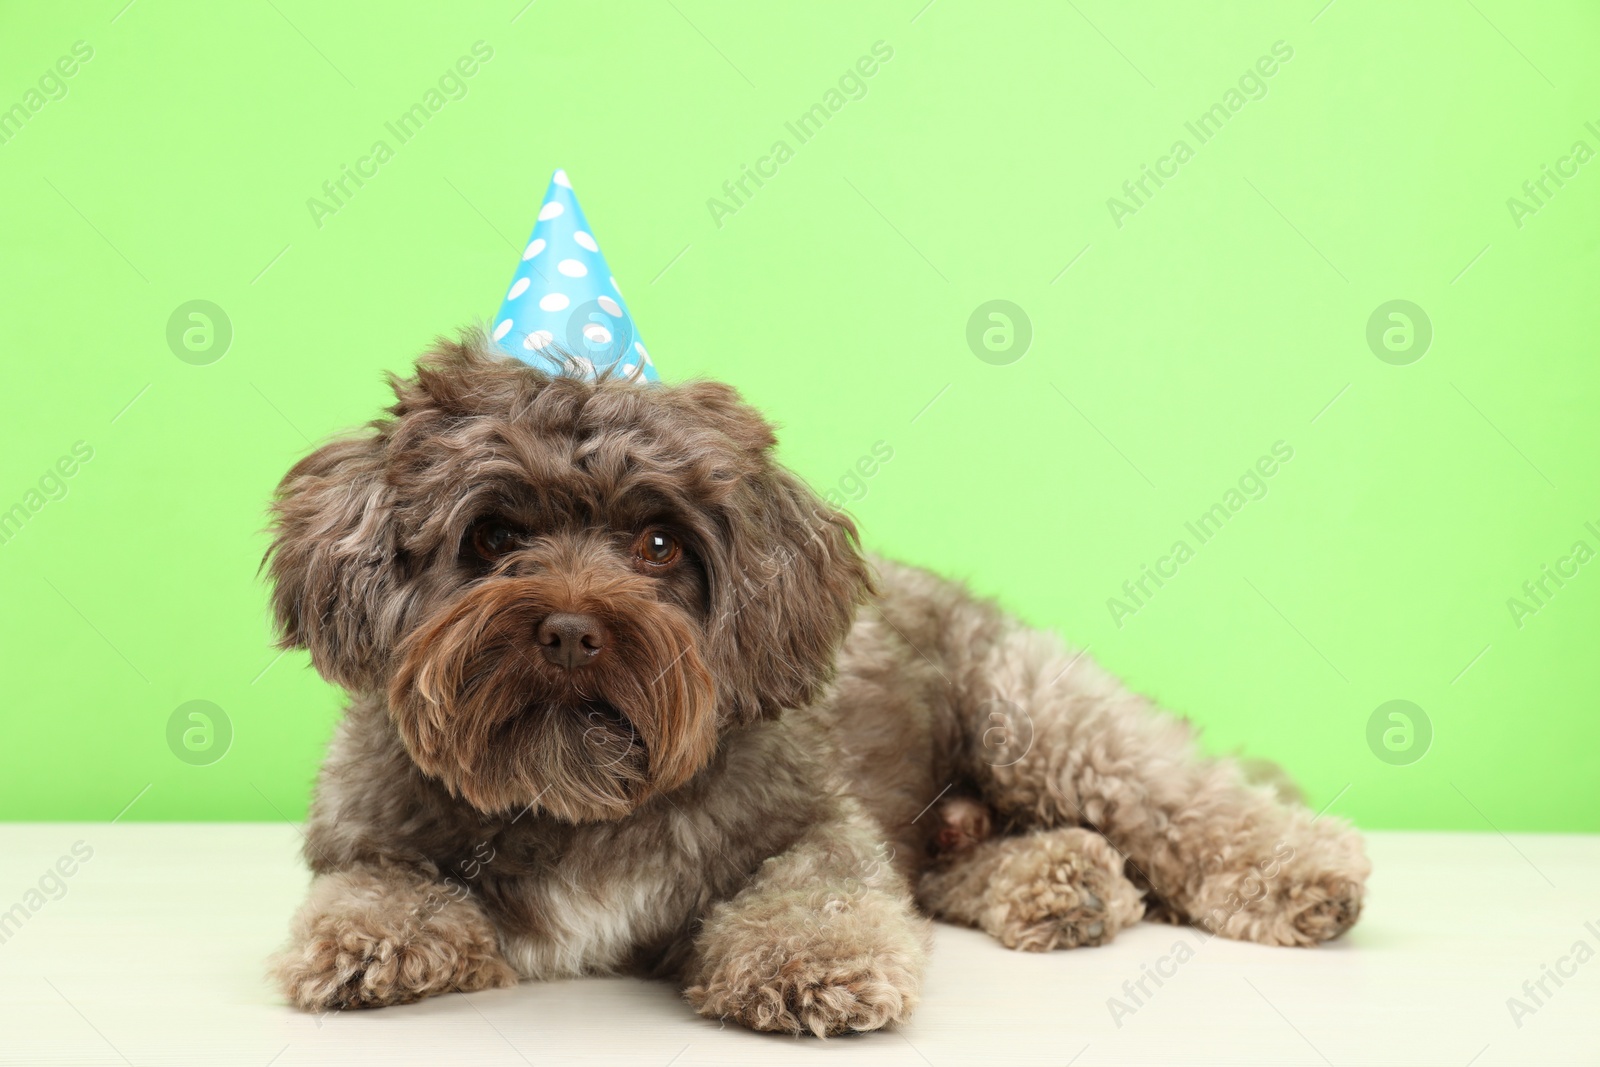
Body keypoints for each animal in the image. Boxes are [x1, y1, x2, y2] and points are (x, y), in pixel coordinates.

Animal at [268, 334, 1369, 1036]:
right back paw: (1059, 879)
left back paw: (1292, 870)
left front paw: (804, 961)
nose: (573, 630)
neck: (577, 797)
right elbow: (376, 886)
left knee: (1181, 801)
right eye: (492, 535)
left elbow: (819, 891)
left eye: (659, 542)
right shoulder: (364, 832)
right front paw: (369, 937)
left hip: (1034, 712)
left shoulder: (817, 823)